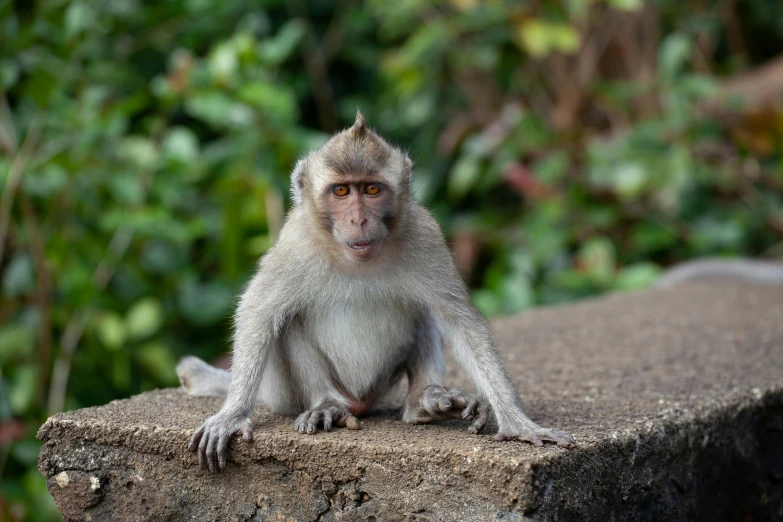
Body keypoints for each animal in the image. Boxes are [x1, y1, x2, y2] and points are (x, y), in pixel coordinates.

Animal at [179, 110, 576, 472]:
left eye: (371, 189)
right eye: (341, 190)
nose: (358, 219)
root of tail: (360, 403)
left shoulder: (425, 235)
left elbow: (460, 320)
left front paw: (516, 421)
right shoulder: (295, 243)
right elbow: (259, 312)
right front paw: (232, 415)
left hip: (382, 383)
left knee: (424, 311)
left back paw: (425, 401)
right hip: (284, 394)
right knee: (288, 321)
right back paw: (327, 405)